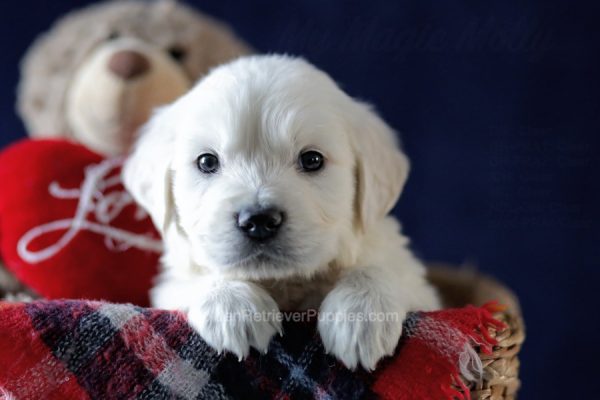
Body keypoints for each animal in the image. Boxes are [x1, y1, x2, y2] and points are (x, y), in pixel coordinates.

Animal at [123, 54, 440, 370]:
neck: (284, 282)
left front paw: (361, 316)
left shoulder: (418, 287)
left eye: (312, 160)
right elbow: (196, 275)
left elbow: (381, 268)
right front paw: (232, 306)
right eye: (207, 162)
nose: (259, 221)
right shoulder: (168, 288)